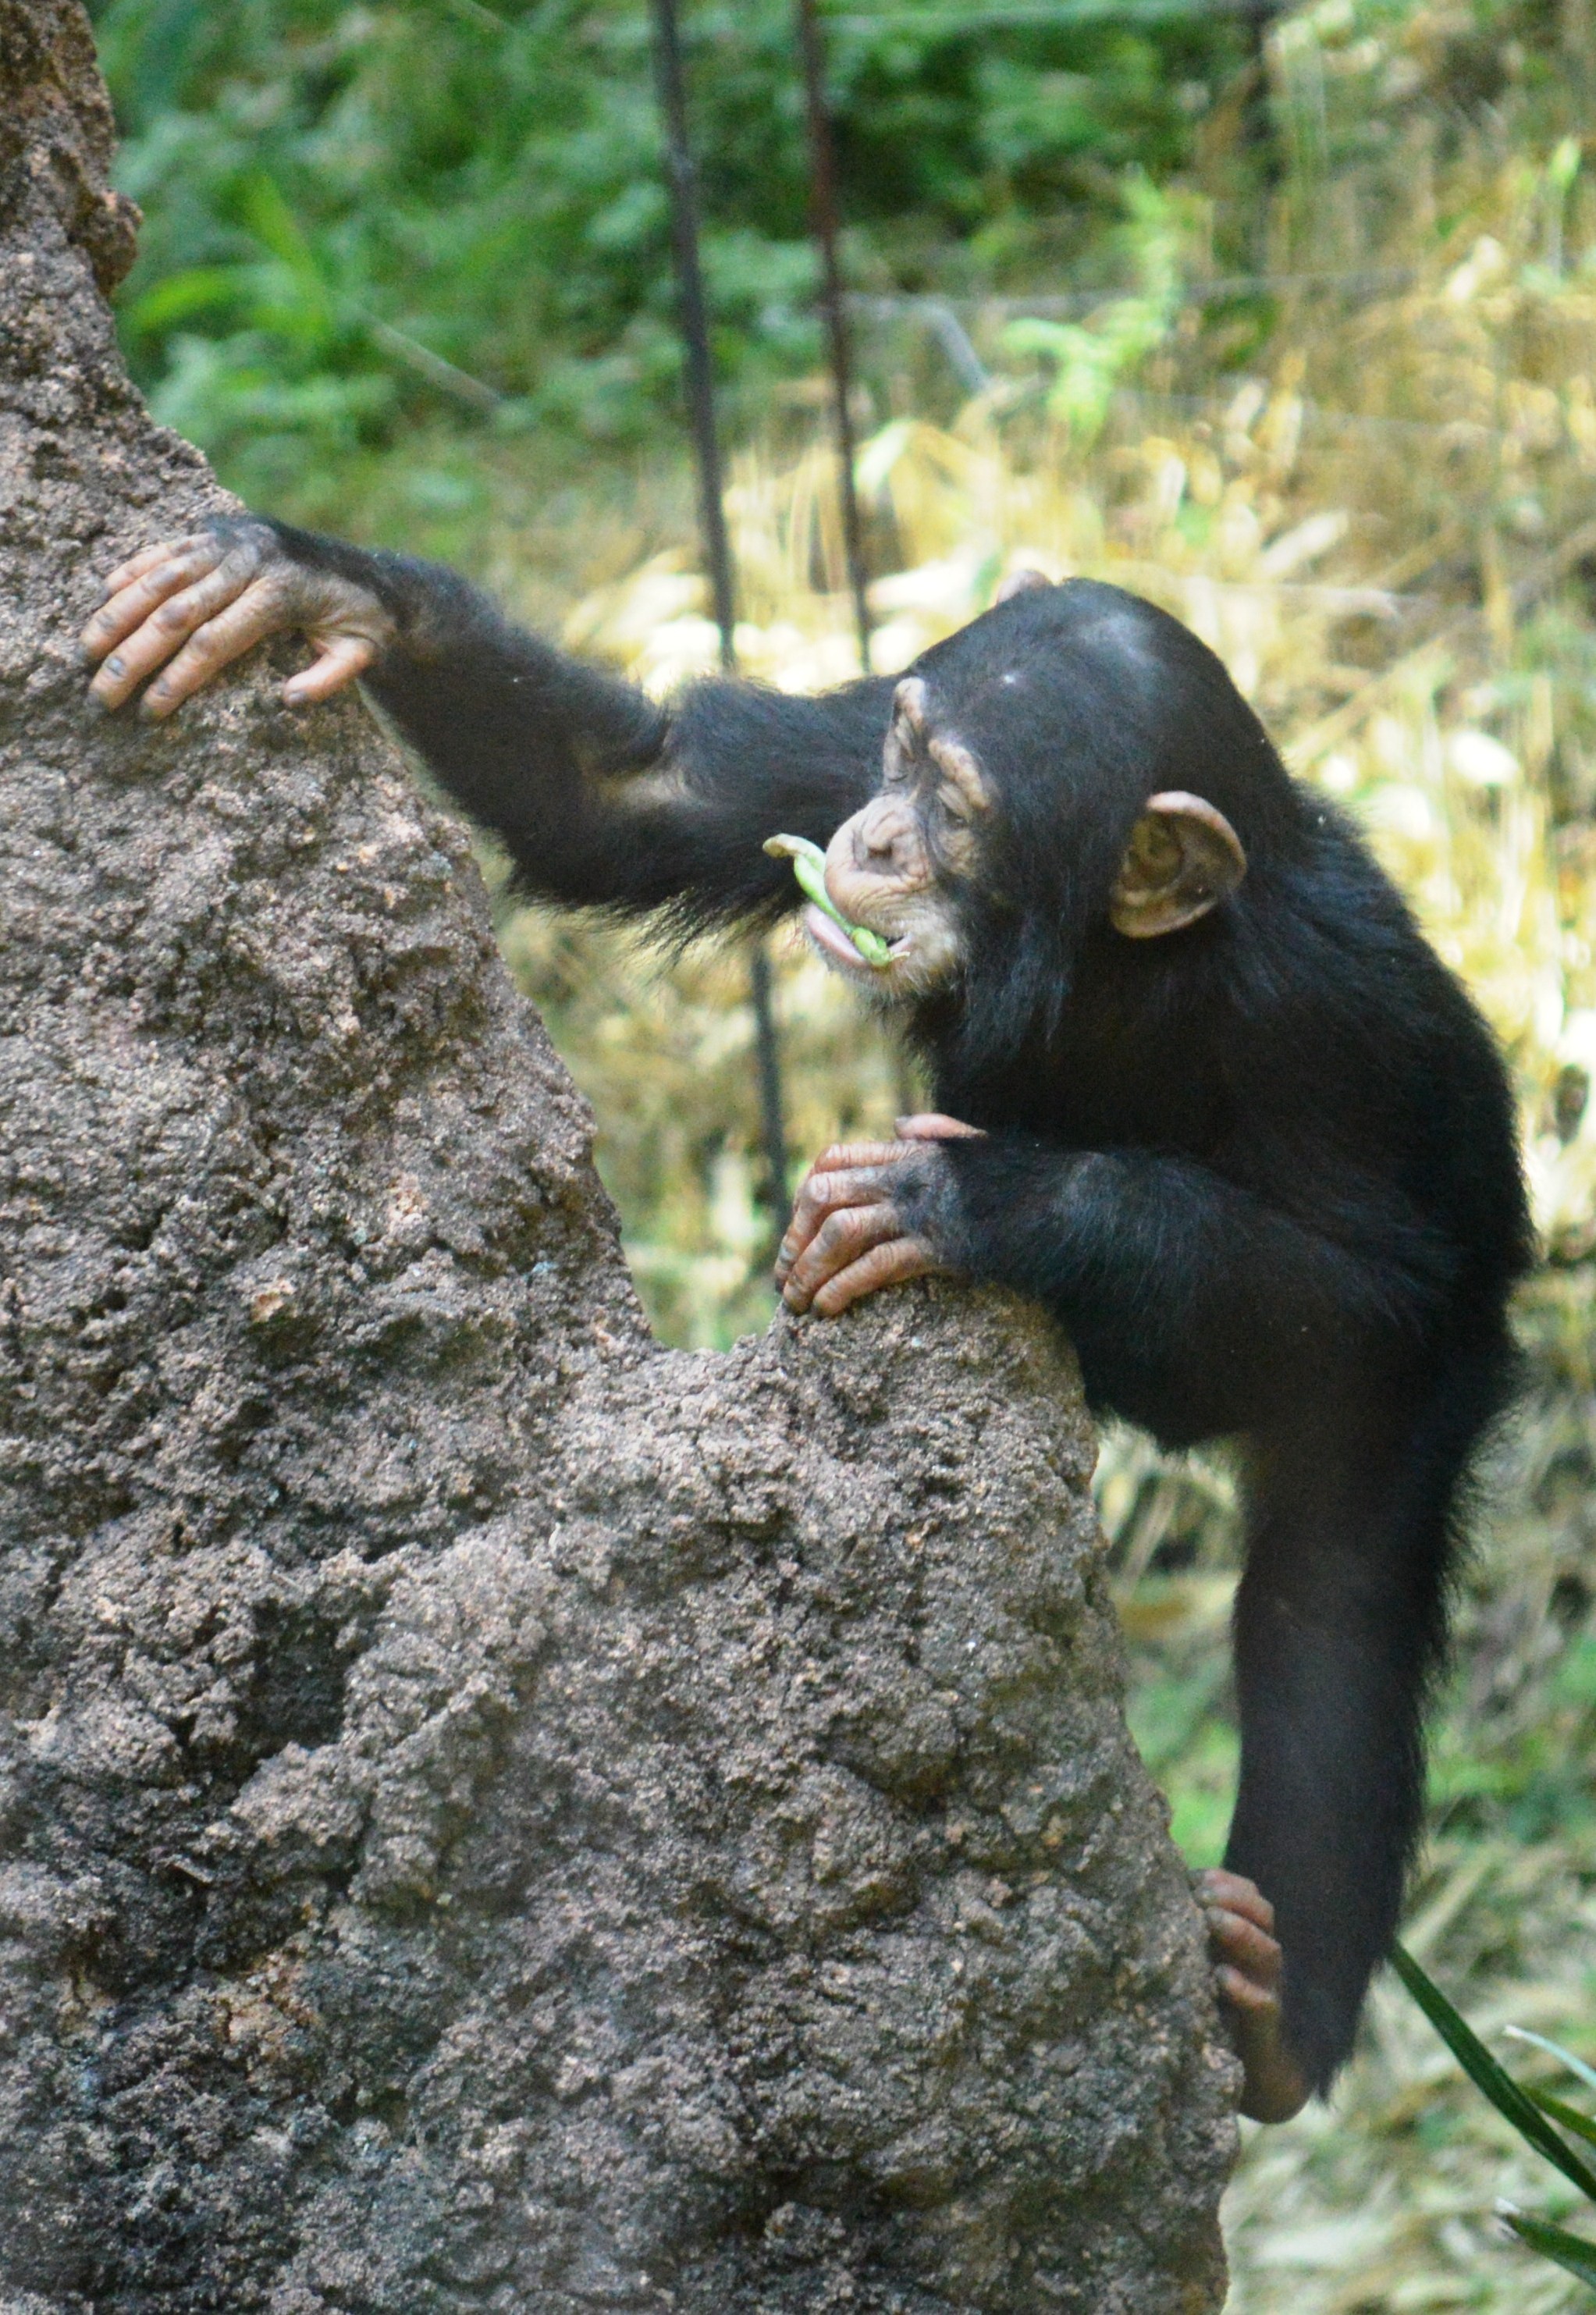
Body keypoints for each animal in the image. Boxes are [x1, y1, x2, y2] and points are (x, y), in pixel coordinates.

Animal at [80, 521, 1528, 2120]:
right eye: (904, 754)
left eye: (957, 807)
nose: (880, 839)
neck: (1120, 950)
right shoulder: (833, 751)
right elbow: (643, 794)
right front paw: (312, 588)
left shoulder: (1330, 1017)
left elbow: (1372, 1290)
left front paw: (984, 1197)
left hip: (1434, 1390)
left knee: (1330, 1609)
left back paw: (1276, 2007)